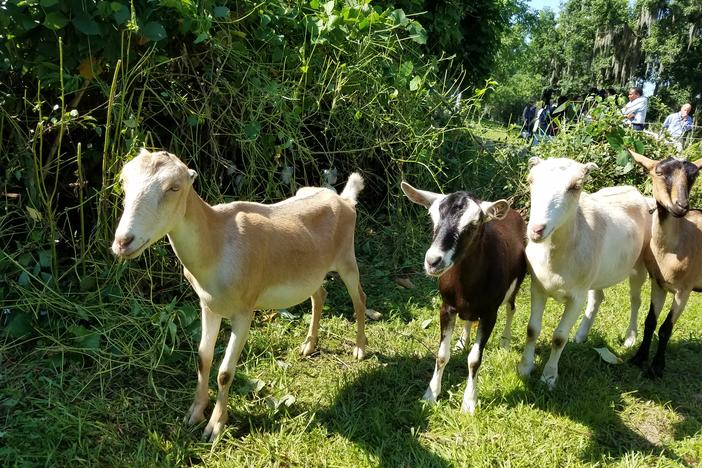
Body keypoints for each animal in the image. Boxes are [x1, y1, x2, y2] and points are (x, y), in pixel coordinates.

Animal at [111, 148, 368, 440]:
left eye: (174, 187)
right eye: (124, 180)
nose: (123, 242)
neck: (216, 242)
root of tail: (344, 200)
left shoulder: (244, 312)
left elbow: (224, 372)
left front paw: (215, 428)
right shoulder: (208, 306)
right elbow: (203, 359)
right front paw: (194, 414)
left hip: (347, 259)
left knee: (359, 299)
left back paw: (359, 349)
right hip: (314, 271)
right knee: (320, 295)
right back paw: (308, 346)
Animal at [402, 182, 528, 414]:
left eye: (473, 225)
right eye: (432, 218)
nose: (433, 261)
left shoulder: (489, 313)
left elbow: (474, 360)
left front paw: (469, 403)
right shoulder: (446, 307)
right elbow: (442, 355)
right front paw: (430, 395)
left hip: (518, 281)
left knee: (511, 307)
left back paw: (505, 342)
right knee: (469, 318)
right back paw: (463, 341)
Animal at [516, 157, 656, 388]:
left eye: (575, 186)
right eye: (531, 181)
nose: (536, 230)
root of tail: (638, 194)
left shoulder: (576, 297)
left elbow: (559, 338)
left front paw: (549, 377)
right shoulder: (538, 287)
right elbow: (532, 329)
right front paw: (525, 369)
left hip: (640, 264)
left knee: (635, 300)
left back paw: (630, 337)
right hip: (594, 274)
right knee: (598, 297)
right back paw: (581, 335)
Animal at [628, 150, 702, 376]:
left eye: (694, 176)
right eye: (659, 172)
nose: (681, 206)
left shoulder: (684, 290)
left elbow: (666, 328)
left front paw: (657, 368)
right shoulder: (658, 283)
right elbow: (650, 322)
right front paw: (638, 358)